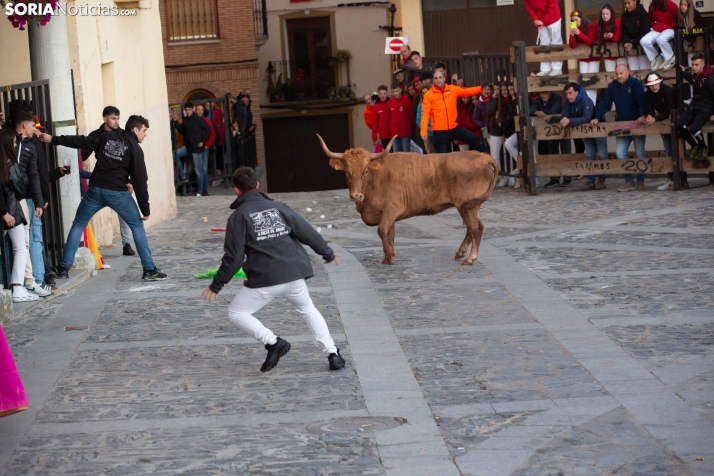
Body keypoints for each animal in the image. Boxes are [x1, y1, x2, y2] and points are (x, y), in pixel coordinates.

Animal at [316, 135, 496, 264]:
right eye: (347, 172)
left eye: (366, 170)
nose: (356, 196)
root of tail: (481, 156)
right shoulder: (388, 214)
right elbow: (390, 234)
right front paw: (388, 256)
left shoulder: (392, 208)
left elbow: (382, 230)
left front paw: (390, 256)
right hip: (468, 207)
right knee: (472, 228)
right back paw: (461, 252)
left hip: (467, 205)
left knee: (475, 228)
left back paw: (470, 258)